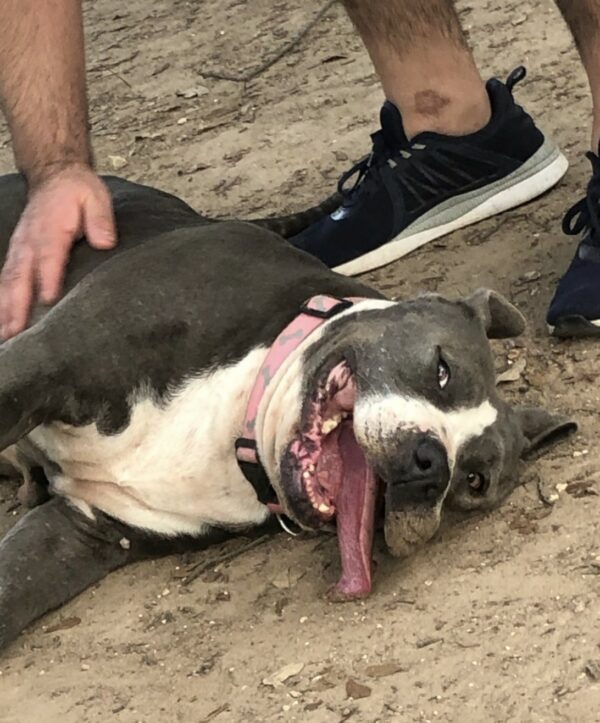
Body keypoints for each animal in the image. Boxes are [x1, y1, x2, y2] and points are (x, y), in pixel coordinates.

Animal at [0, 174, 576, 652]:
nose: (431, 465)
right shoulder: (50, 358)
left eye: (474, 481)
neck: (238, 418)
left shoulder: (82, 531)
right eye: (442, 370)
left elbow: (12, 588)